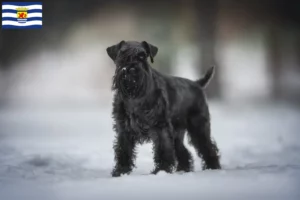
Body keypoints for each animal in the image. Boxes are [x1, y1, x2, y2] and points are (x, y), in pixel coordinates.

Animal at [106, 40, 220, 177]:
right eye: (122, 55)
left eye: (142, 56)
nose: (131, 69)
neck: (135, 96)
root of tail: (197, 84)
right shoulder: (123, 128)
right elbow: (123, 150)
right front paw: (121, 171)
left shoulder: (160, 127)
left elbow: (162, 149)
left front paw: (161, 170)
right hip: (177, 132)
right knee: (183, 151)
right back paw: (183, 170)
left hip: (199, 128)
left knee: (208, 148)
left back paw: (213, 168)